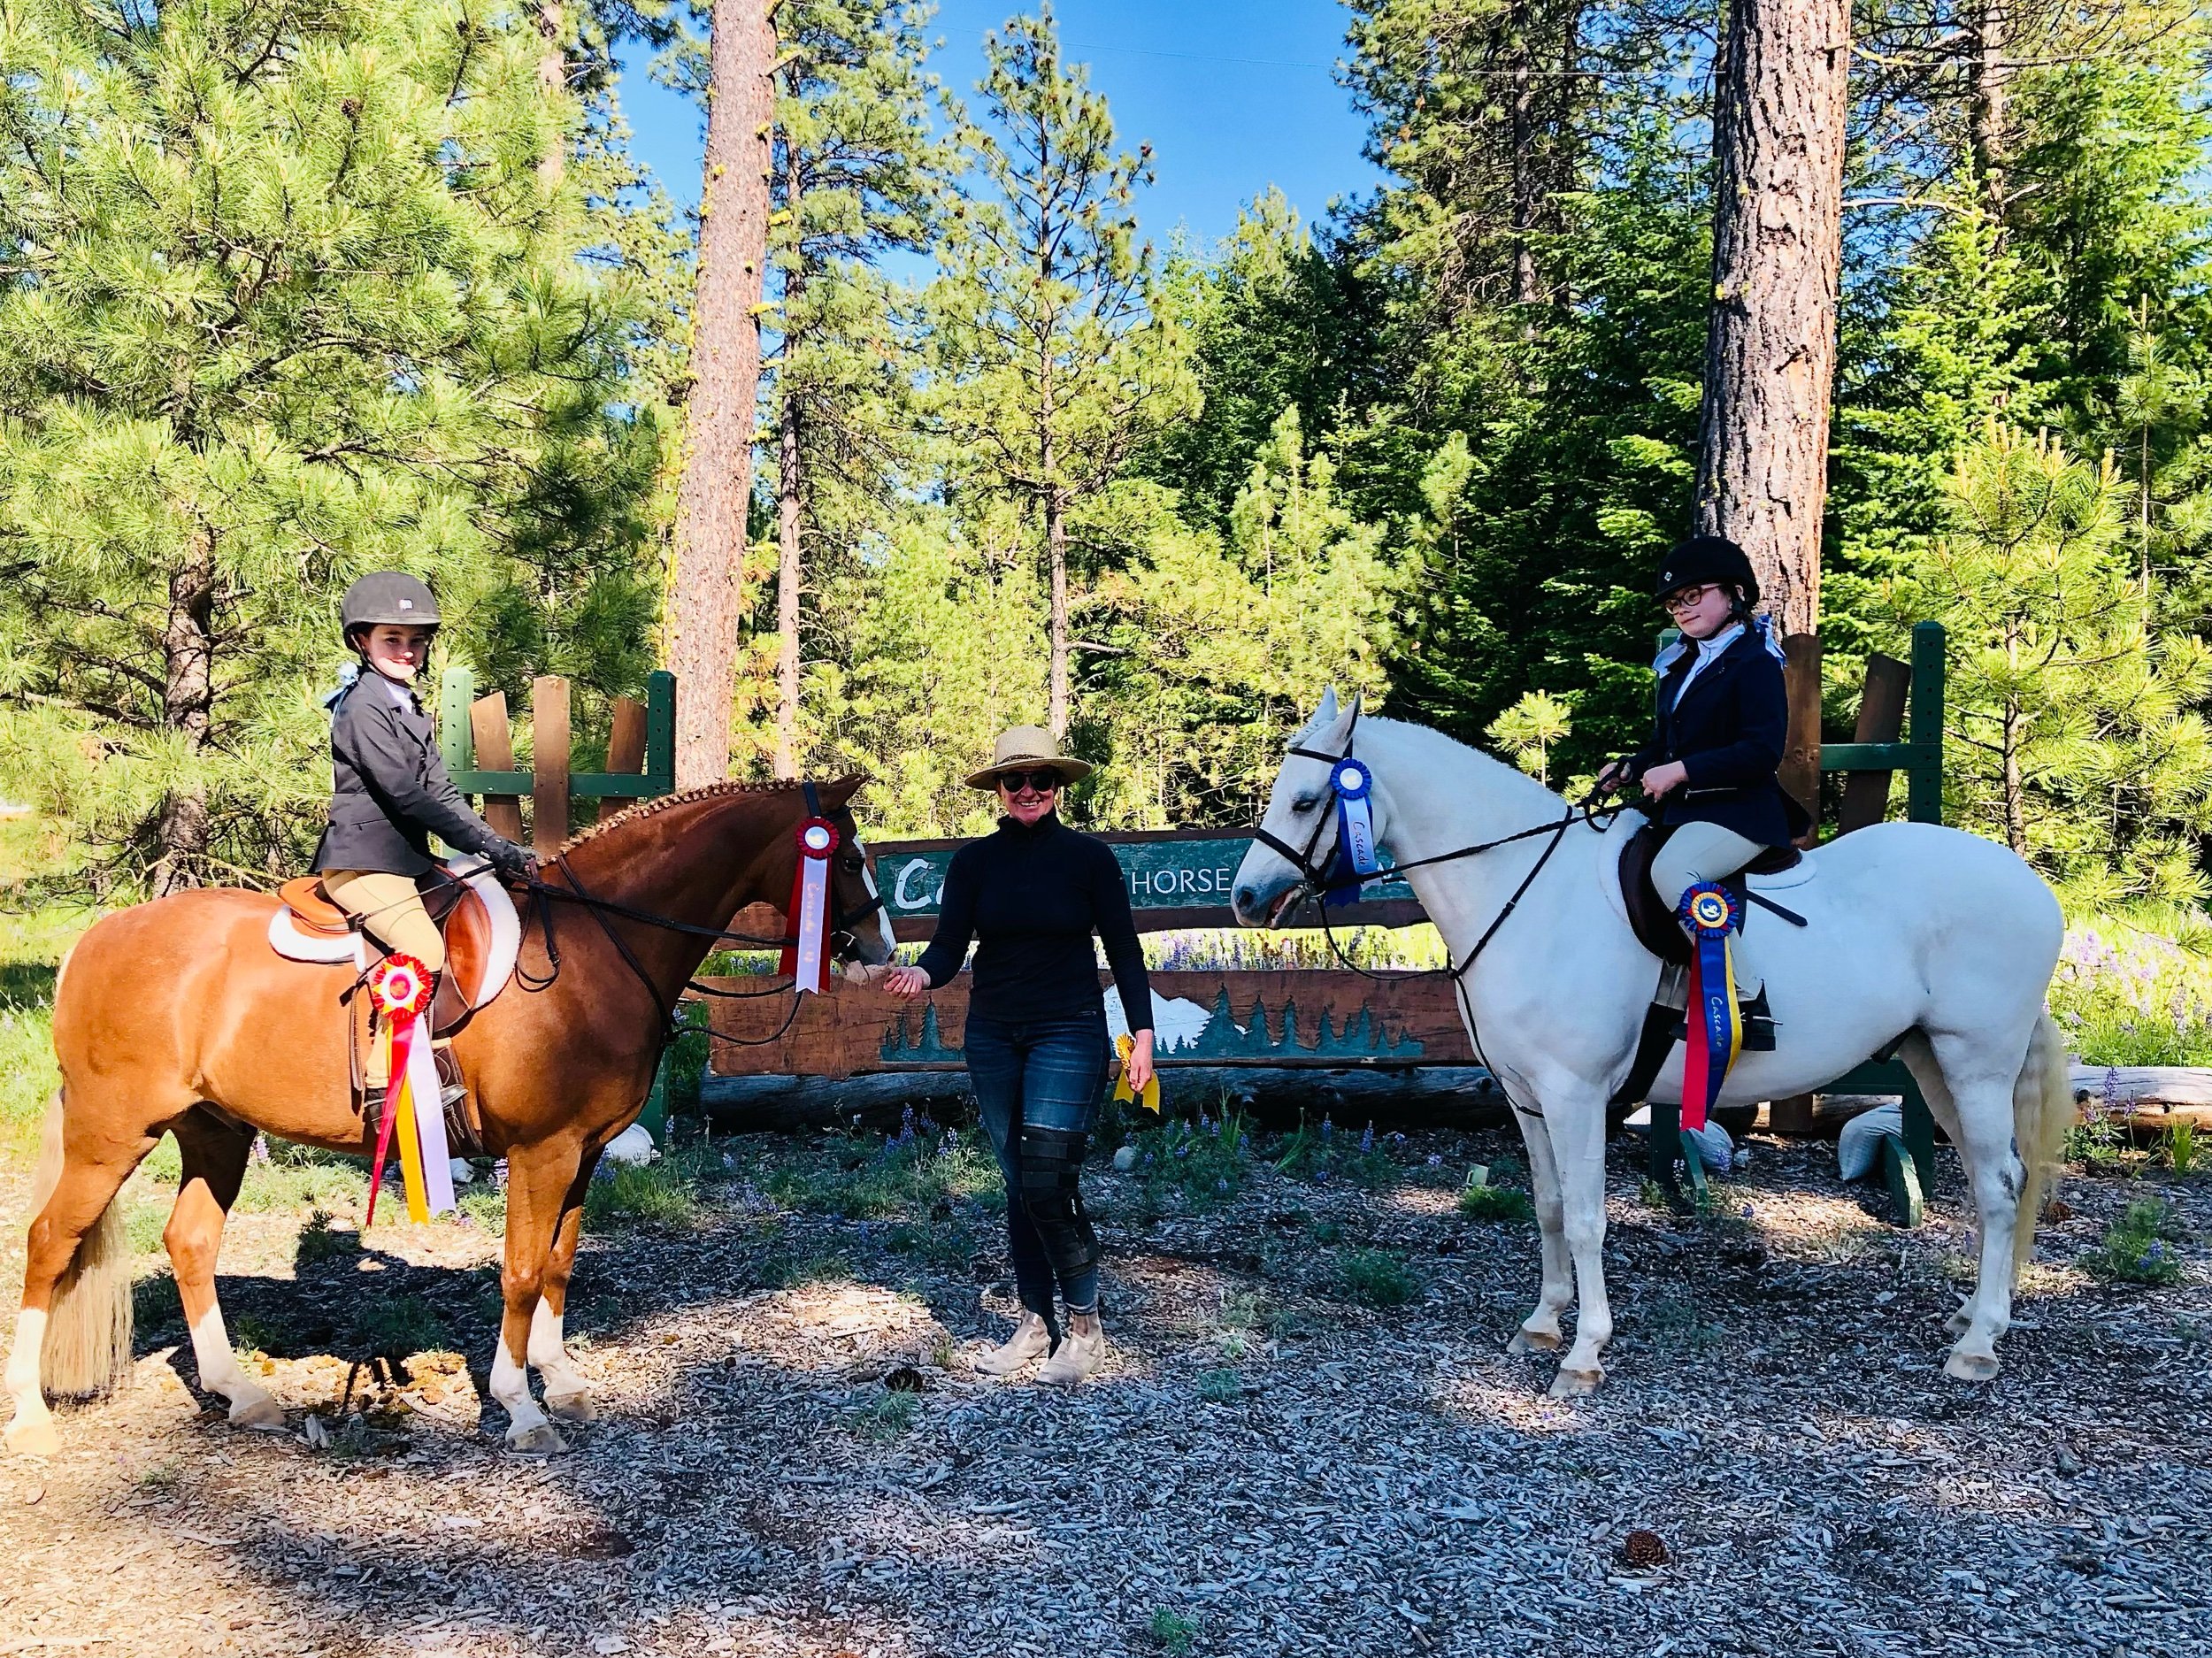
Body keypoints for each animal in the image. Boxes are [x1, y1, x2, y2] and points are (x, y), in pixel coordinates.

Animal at [6, 778, 894, 1457]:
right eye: (846, 856)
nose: (880, 950)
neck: (595, 945)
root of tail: (96, 939)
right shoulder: (541, 1151)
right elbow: (523, 1272)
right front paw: (521, 1407)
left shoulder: (584, 1153)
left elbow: (560, 1265)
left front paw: (560, 1381)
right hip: (112, 1133)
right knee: (49, 1244)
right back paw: (33, 1419)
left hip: (214, 1130)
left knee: (189, 1242)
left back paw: (242, 1395)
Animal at [1231, 691, 2073, 1396]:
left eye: (1306, 799)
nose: (1244, 899)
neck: (1529, 892)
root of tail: (2029, 885)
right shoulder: (1526, 1099)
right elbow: (1548, 1206)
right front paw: (1542, 1326)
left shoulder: (1575, 1094)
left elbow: (1587, 1217)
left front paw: (1583, 1355)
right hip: (1932, 1061)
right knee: (1995, 1180)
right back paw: (1974, 1317)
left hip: (1975, 1063)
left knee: (1999, 1187)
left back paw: (1978, 1346)